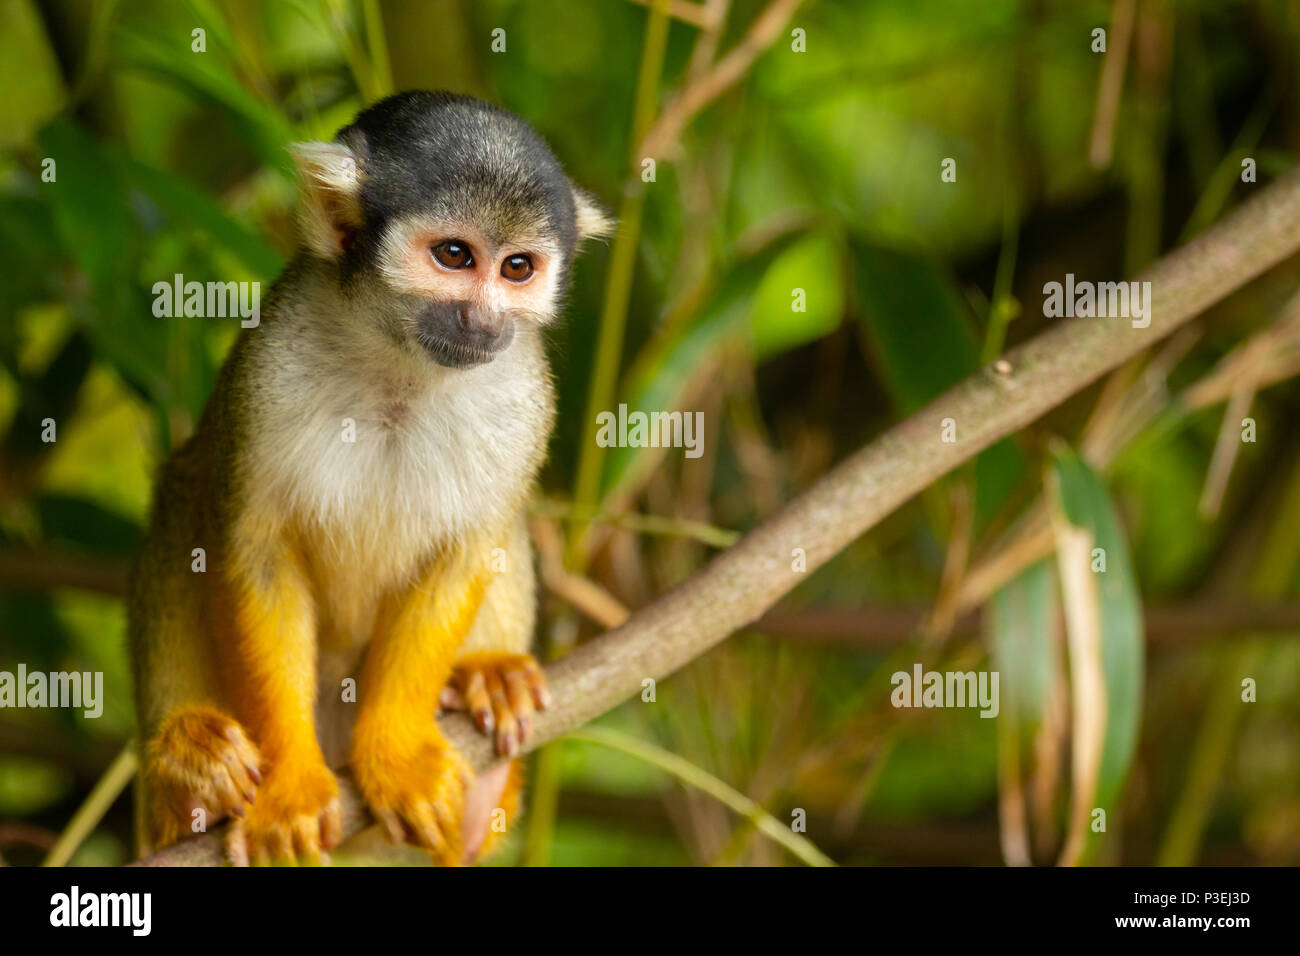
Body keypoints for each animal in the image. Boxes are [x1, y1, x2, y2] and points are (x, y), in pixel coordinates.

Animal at [130, 91, 613, 868]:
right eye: (454, 256)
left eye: (517, 268)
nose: (483, 318)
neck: (402, 365)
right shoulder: (270, 369)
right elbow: (252, 550)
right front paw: (290, 787)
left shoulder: (525, 394)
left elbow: (467, 551)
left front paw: (398, 753)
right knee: (186, 491)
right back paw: (190, 773)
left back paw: (487, 714)